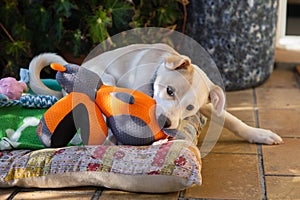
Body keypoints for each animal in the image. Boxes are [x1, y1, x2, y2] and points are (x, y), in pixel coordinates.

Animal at [29, 43, 282, 145]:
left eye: (190, 108)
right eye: (169, 91)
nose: (166, 123)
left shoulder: (208, 106)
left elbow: (231, 119)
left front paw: (259, 134)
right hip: (103, 77)